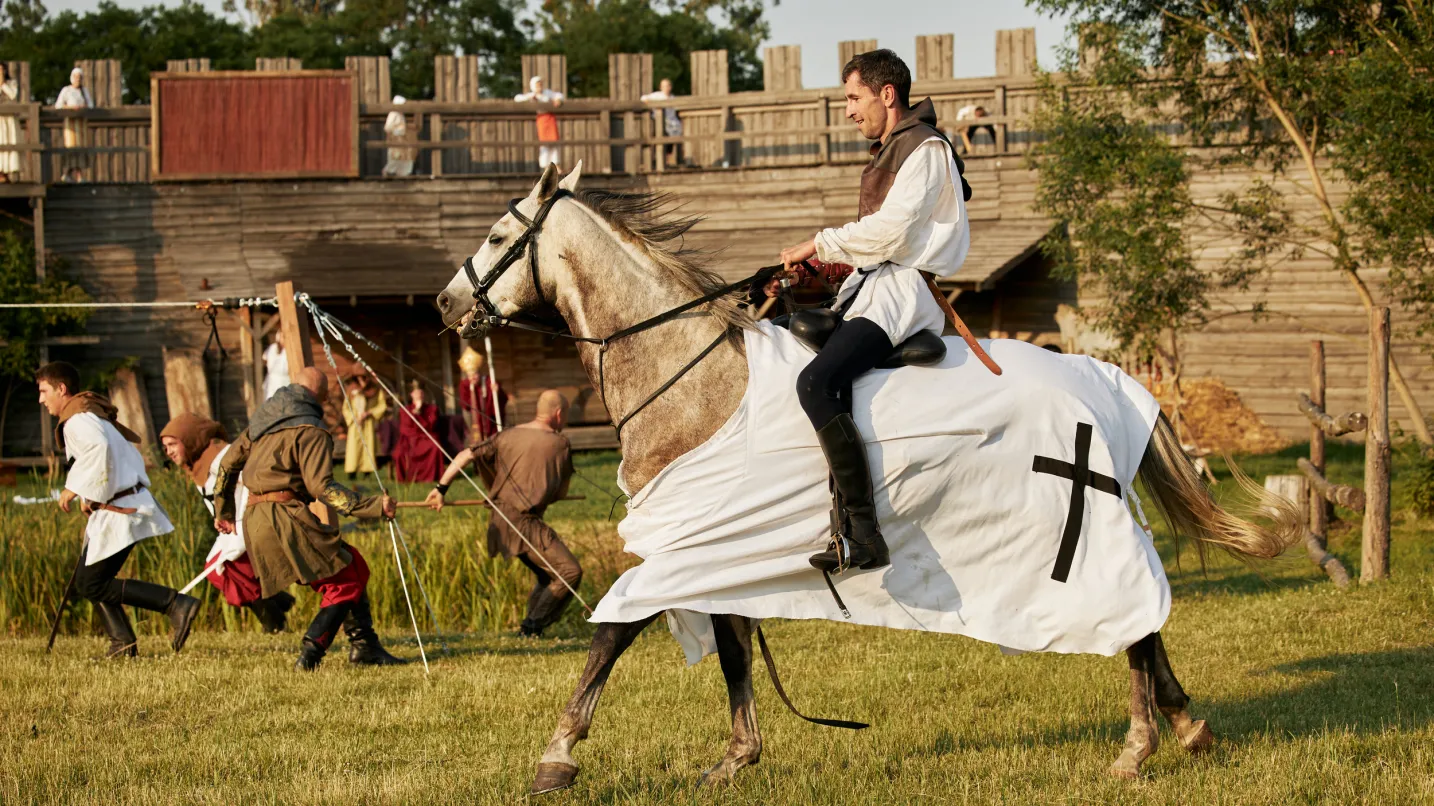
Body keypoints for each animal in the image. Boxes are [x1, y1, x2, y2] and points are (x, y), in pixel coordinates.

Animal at [433, 161, 1302, 791]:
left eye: (500, 234)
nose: (445, 304)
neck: (692, 376)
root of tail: (1102, 378)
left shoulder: (680, 547)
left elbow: (615, 630)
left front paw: (558, 754)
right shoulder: (712, 545)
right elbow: (732, 644)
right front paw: (737, 757)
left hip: (1076, 525)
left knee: (1132, 621)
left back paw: (1139, 743)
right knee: (1143, 623)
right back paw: (1183, 725)